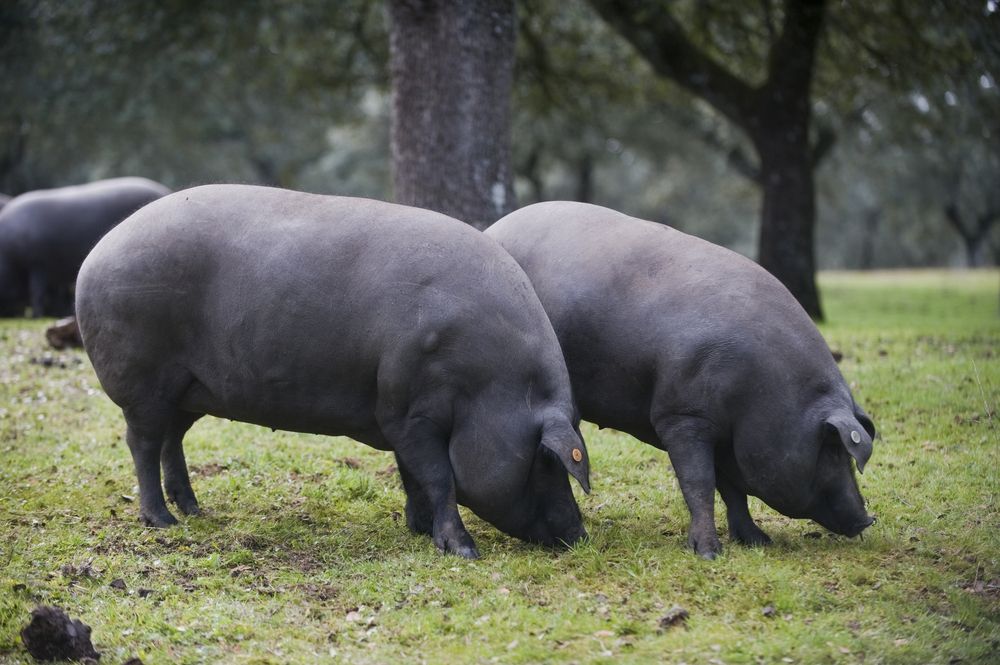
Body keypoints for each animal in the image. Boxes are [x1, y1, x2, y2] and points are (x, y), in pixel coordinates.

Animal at [0, 176, 169, 316]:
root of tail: (164, 190)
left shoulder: (38, 264)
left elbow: (37, 292)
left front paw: (38, 316)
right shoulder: (51, 271)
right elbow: (52, 296)